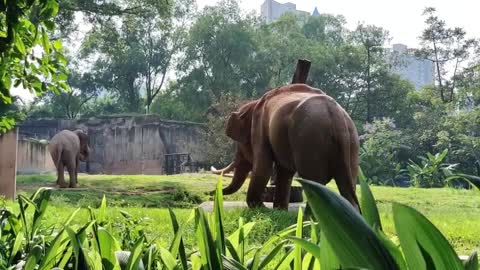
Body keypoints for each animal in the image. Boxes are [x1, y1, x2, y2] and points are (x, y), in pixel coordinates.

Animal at [215, 84, 360, 211]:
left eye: (240, 144)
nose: (213, 193)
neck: (254, 103)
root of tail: (336, 116)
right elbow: (285, 171)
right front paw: (279, 211)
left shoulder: (259, 128)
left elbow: (263, 167)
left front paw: (263, 210)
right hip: (351, 142)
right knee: (347, 184)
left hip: (309, 139)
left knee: (315, 183)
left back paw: (308, 221)